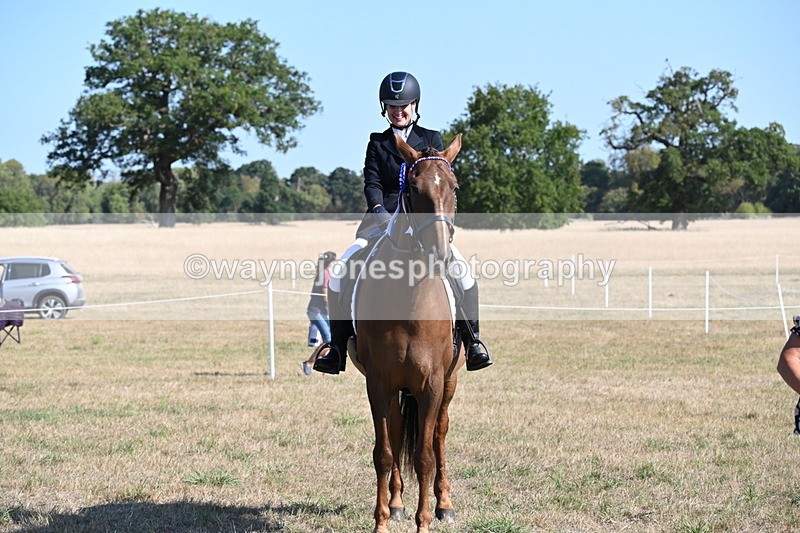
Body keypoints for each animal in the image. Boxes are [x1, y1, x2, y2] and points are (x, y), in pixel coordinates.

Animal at [347, 133, 465, 533]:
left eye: (454, 188)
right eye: (413, 189)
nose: (442, 255)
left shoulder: (431, 383)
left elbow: (425, 455)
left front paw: (425, 521)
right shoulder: (379, 383)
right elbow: (385, 452)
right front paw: (382, 521)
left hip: (449, 383)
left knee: (440, 435)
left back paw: (445, 504)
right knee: (398, 434)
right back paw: (397, 503)